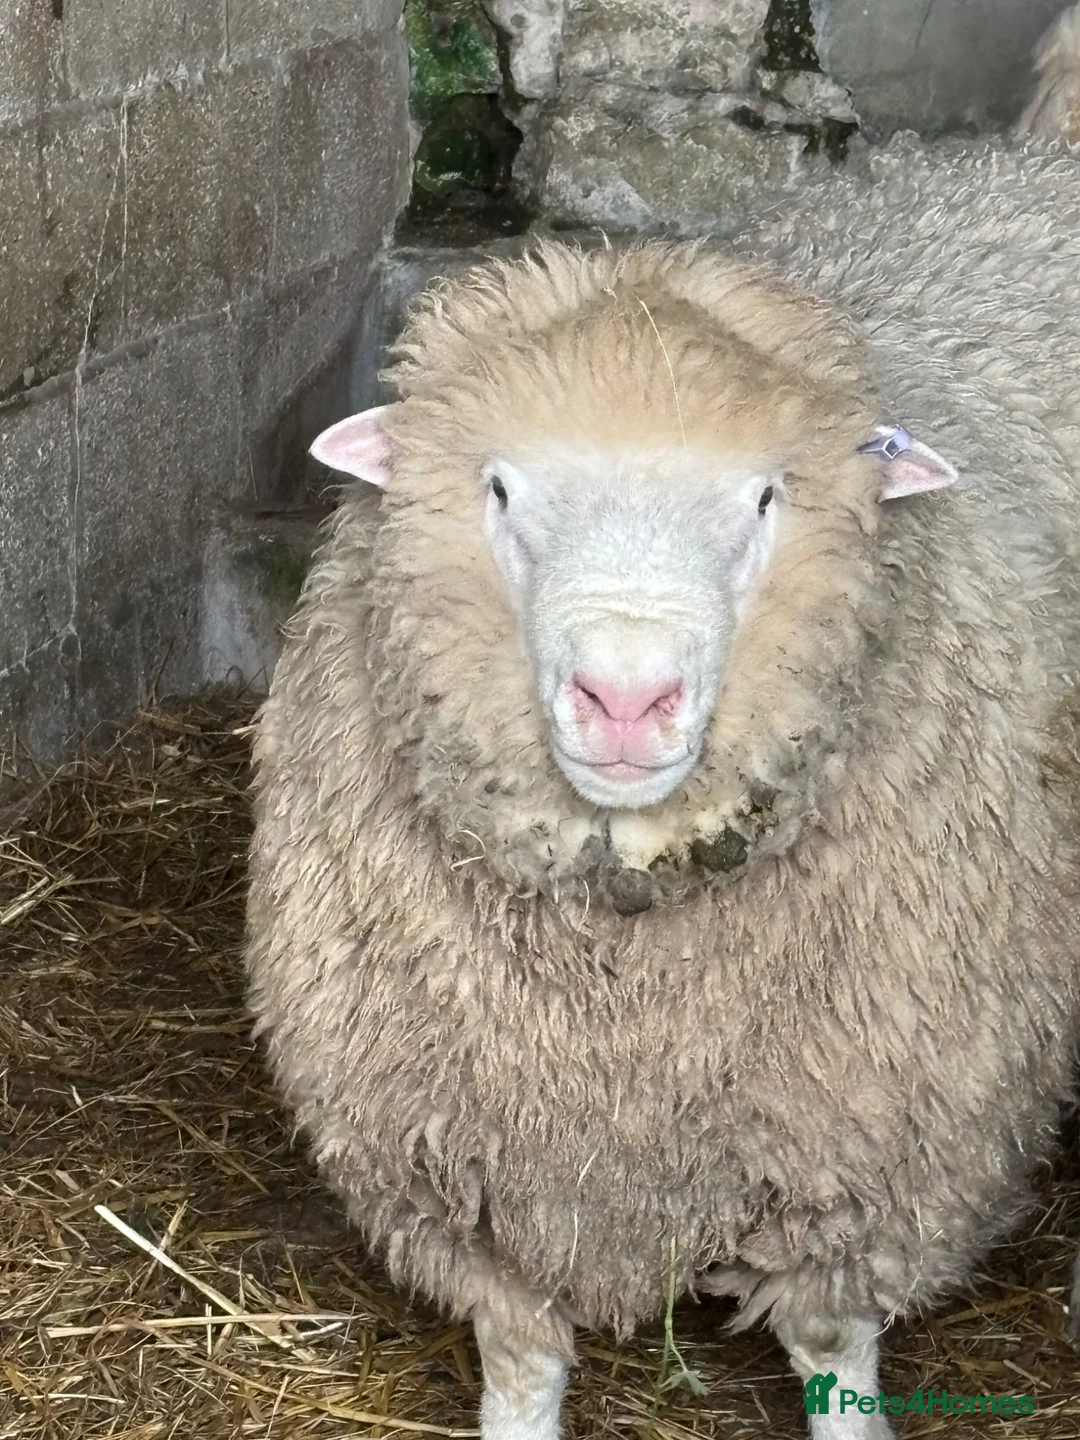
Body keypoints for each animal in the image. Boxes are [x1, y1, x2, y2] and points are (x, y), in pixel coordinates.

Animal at [246, 38, 1080, 1440]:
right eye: (499, 488)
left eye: (765, 499)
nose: (625, 696)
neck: (628, 1003)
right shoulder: (471, 1165)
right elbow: (521, 1357)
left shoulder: (871, 1150)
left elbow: (834, 1350)